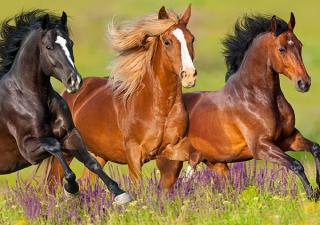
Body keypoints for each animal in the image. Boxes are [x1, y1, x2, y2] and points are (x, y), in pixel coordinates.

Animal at [0, 10, 131, 204]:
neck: (28, 98)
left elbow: (91, 162)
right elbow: (55, 146)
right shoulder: (28, 149)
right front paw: (71, 188)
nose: (74, 81)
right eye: (48, 47)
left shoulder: (70, 134)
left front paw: (120, 193)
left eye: (70, 43)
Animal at [47, 5, 198, 187]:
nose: (189, 75)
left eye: (192, 39)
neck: (160, 108)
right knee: (52, 183)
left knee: (86, 180)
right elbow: (138, 185)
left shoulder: (172, 147)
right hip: (66, 150)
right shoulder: (134, 153)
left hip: (99, 154)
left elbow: (193, 157)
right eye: (167, 42)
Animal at [156, 12, 320, 199]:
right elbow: (296, 164)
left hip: (216, 164)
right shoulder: (261, 147)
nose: (304, 83)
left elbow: (315, 148)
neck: (255, 97)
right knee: (162, 192)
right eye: (281, 49)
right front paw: (312, 194)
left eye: (300, 45)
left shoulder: (288, 138)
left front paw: (318, 184)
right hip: (172, 164)